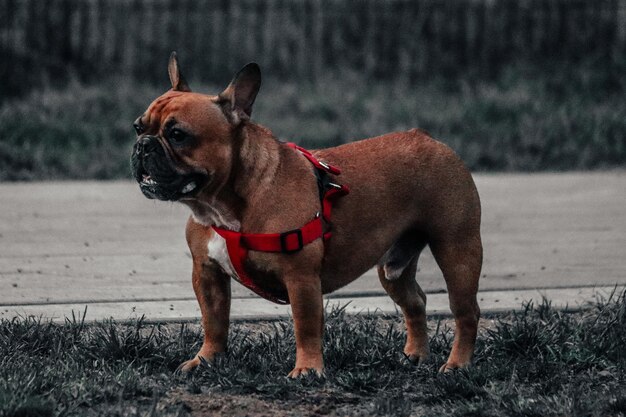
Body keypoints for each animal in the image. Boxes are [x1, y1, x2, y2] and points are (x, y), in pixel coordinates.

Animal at [130, 52, 482, 376]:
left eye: (178, 135)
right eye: (137, 127)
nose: (142, 146)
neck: (221, 207)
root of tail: (428, 138)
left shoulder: (300, 278)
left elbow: (306, 325)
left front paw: (308, 369)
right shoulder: (207, 273)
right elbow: (214, 321)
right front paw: (205, 360)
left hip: (457, 250)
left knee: (465, 312)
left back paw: (457, 364)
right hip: (393, 267)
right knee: (415, 301)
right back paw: (415, 355)